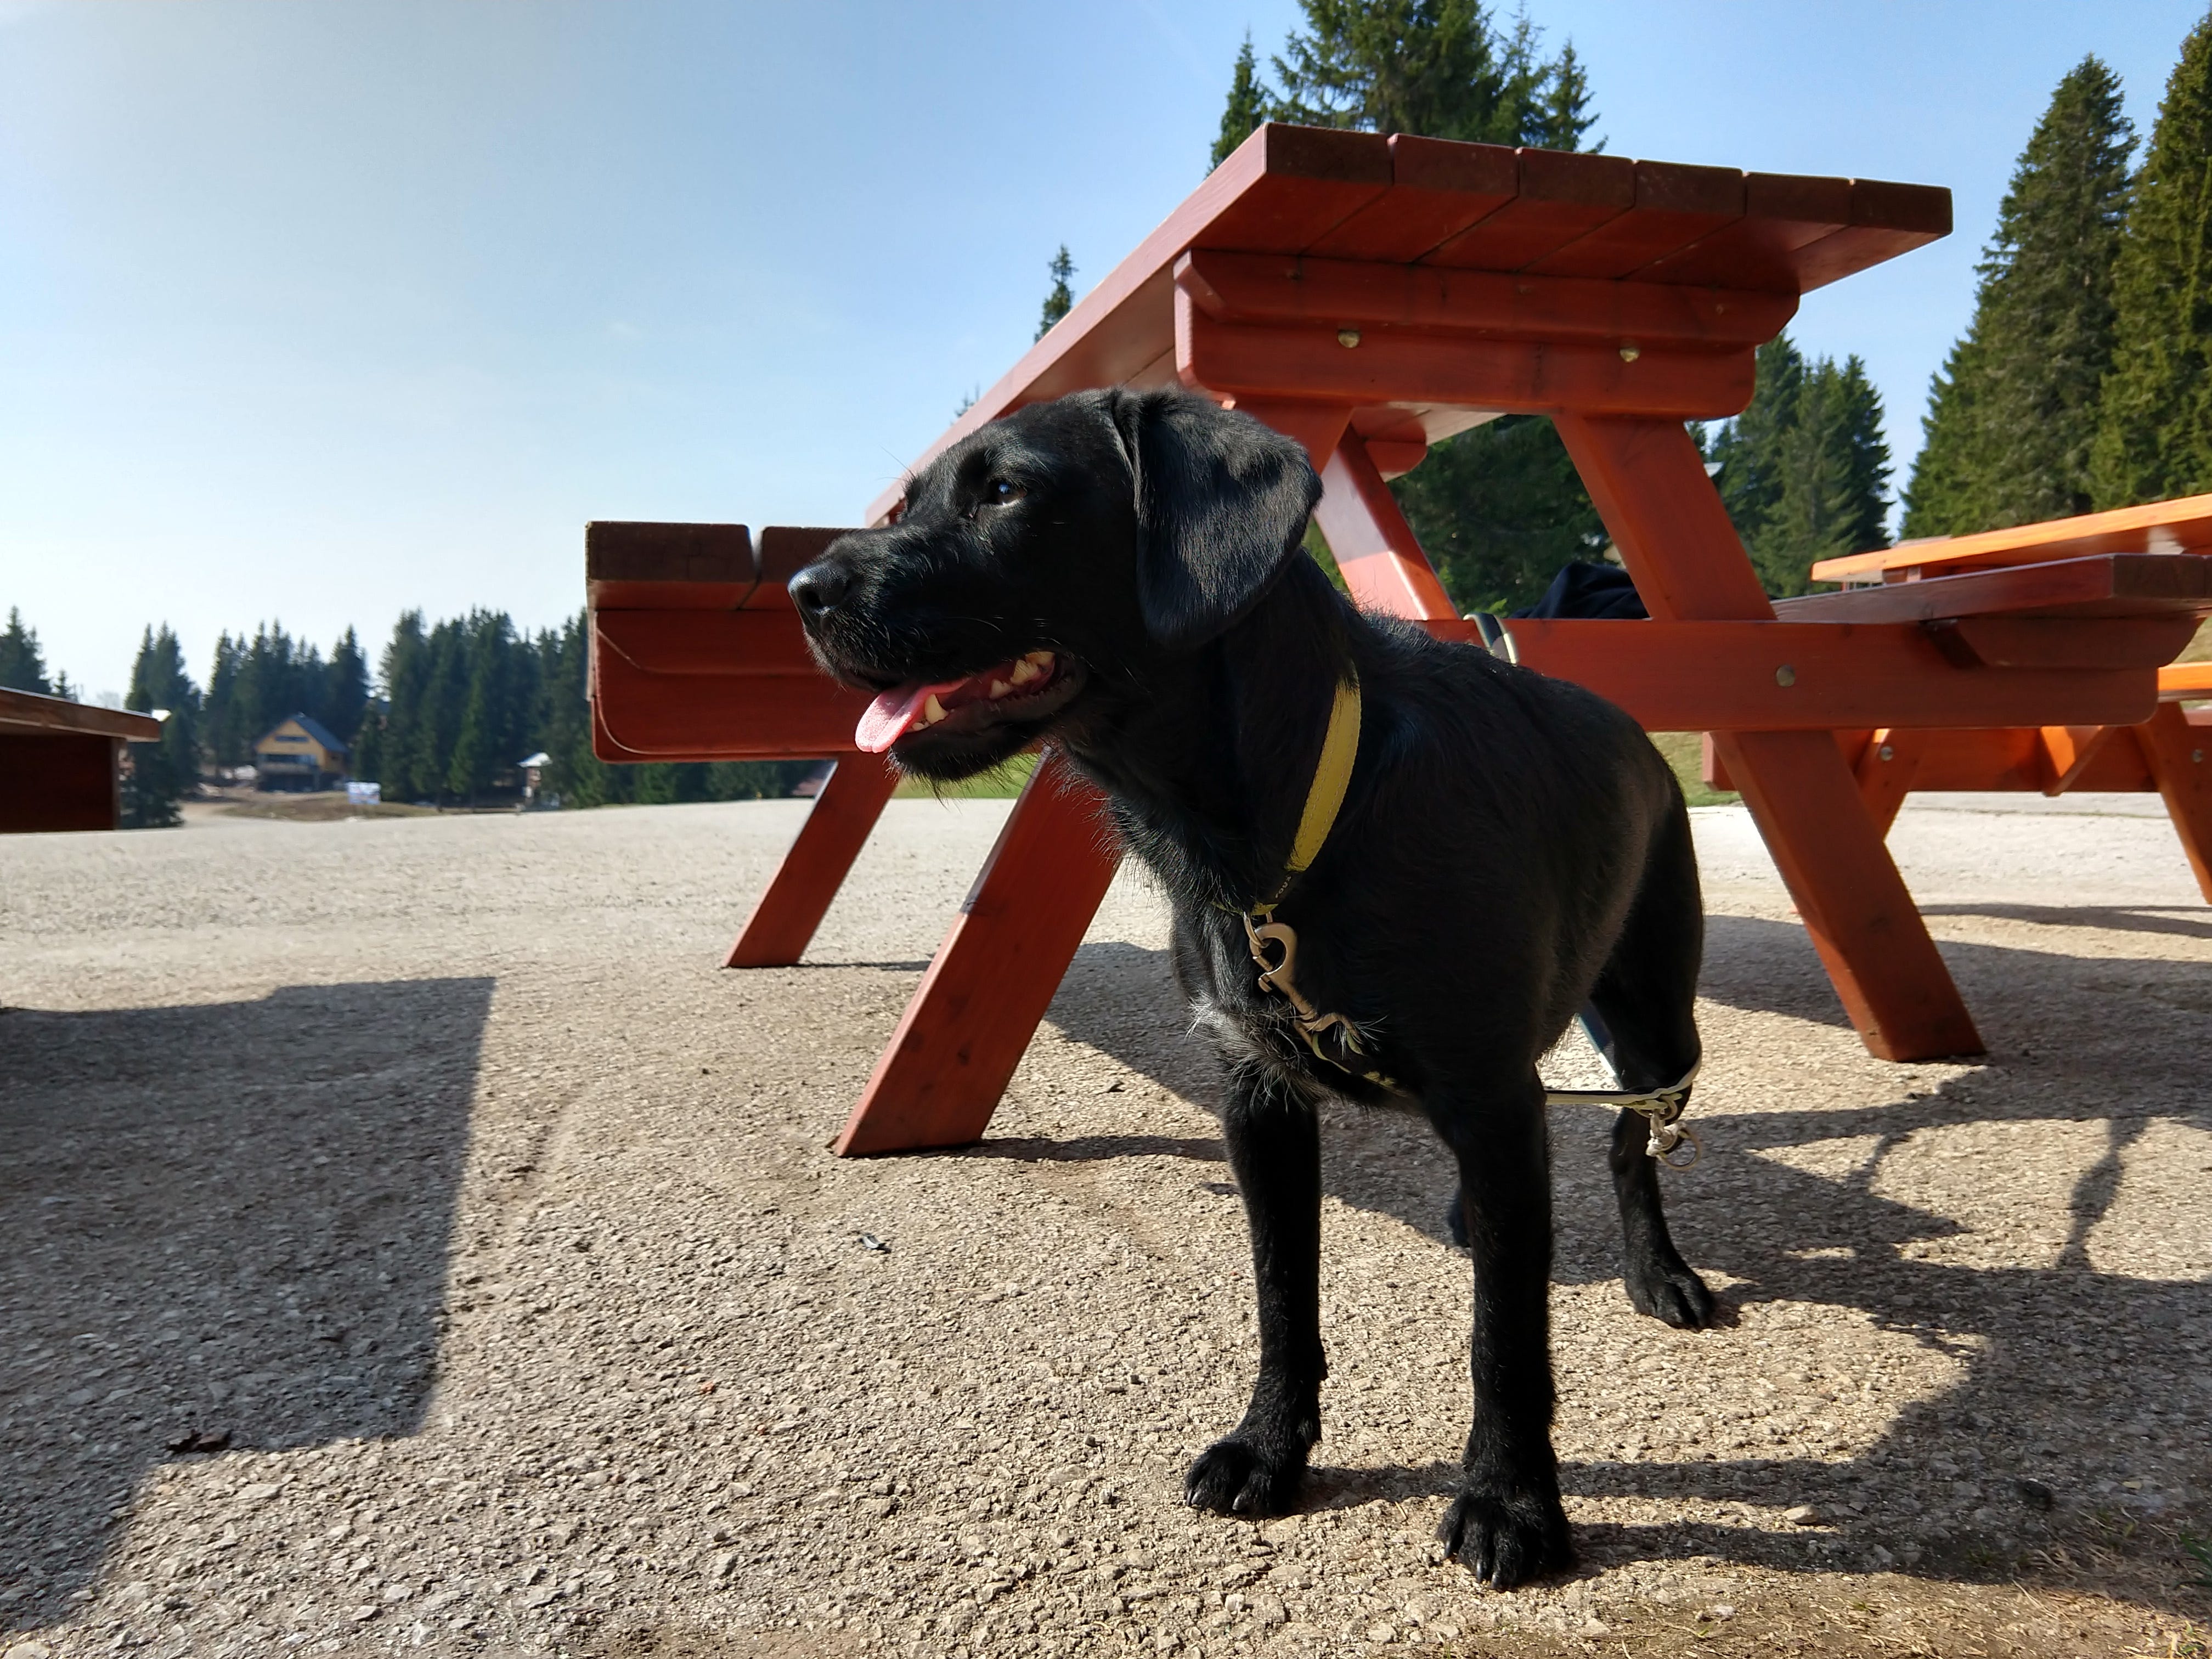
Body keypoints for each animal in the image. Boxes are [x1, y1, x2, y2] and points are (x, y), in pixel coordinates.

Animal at [796, 389, 1707, 1601]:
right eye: (908, 504)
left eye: (1005, 491)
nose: (802, 590)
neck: (1293, 822)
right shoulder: (1258, 1098)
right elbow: (1285, 1296)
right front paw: (1272, 1446)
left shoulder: (1488, 1090)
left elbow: (1505, 1339)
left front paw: (1511, 1501)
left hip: (1657, 1015)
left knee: (1630, 1139)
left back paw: (1662, 1272)